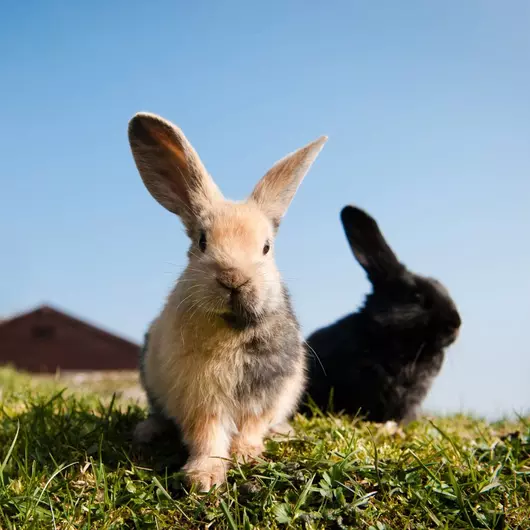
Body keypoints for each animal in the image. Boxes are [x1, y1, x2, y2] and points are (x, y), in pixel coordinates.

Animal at [128, 112, 326, 490]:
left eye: (266, 247)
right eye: (202, 241)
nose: (233, 278)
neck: (232, 328)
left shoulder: (265, 394)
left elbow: (250, 427)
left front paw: (247, 455)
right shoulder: (201, 398)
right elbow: (208, 435)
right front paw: (203, 477)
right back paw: (146, 431)